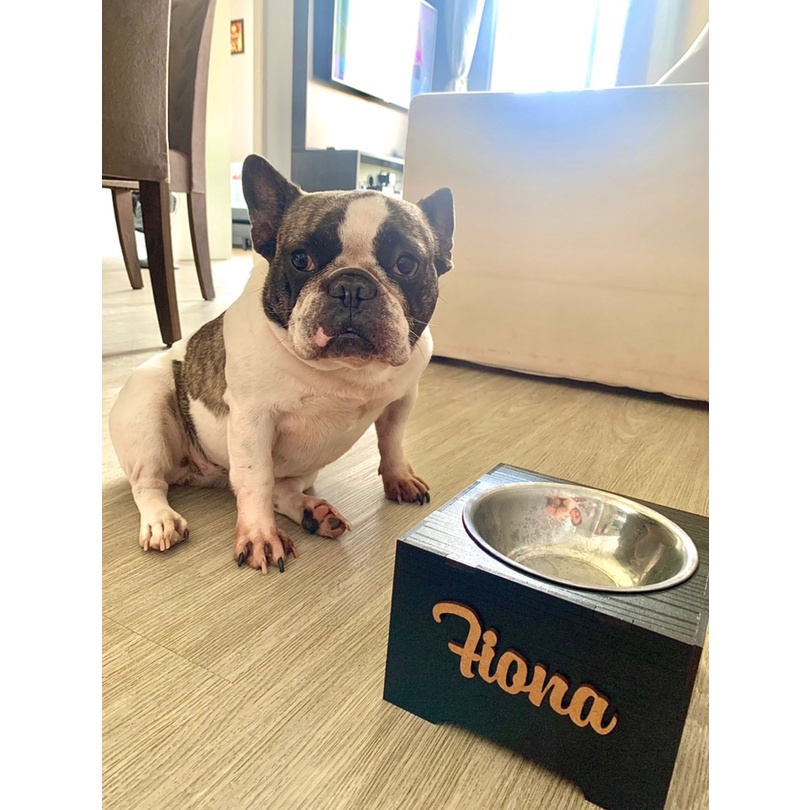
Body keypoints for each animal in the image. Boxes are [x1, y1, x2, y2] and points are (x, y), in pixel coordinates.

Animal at [109, 155, 454, 574]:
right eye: (300, 259)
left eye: (406, 264)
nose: (352, 286)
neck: (344, 371)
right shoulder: (252, 420)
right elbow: (254, 479)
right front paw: (259, 536)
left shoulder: (402, 399)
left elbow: (392, 442)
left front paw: (399, 477)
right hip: (146, 408)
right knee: (149, 484)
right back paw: (160, 520)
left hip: (304, 468)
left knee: (282, 488)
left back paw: (313, 512)